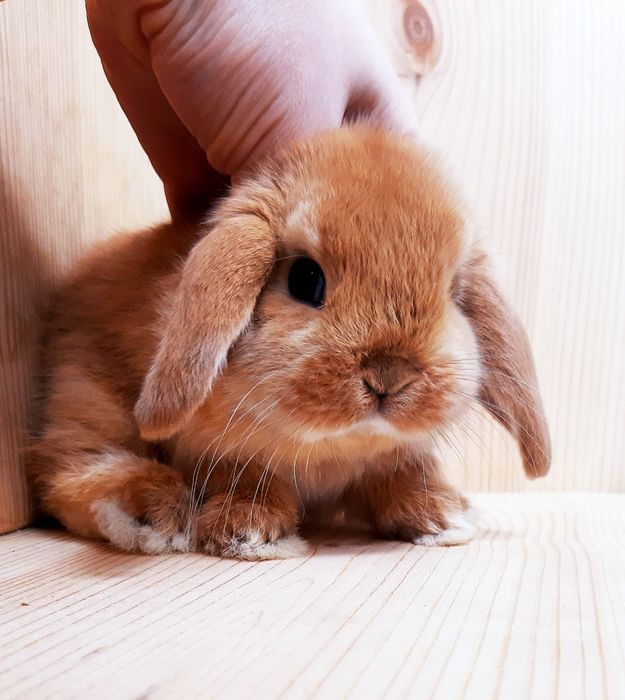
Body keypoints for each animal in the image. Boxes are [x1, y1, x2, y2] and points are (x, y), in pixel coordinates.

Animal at [28, 126, 551, 560]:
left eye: (454, 295)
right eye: (305, 279)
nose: (390, 374)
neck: (333, 446)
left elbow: (401, 473)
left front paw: (444, 518)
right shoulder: (221, 451)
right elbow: (246, 476)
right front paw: (251, 533)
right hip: (86, 392)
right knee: (68, 469)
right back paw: (154, 514)